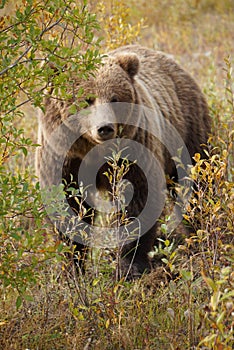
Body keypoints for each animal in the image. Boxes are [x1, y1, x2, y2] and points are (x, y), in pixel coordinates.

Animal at [36, 44, 210, 278]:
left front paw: (130, 266)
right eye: (87, 99)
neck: (93, 151)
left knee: (198, 184)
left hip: (186, 131)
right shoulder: (62, 157)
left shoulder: (135, 150)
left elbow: (137, 200)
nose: (105, 128)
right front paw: (72, 267)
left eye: (114, 97)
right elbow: (67, 205)